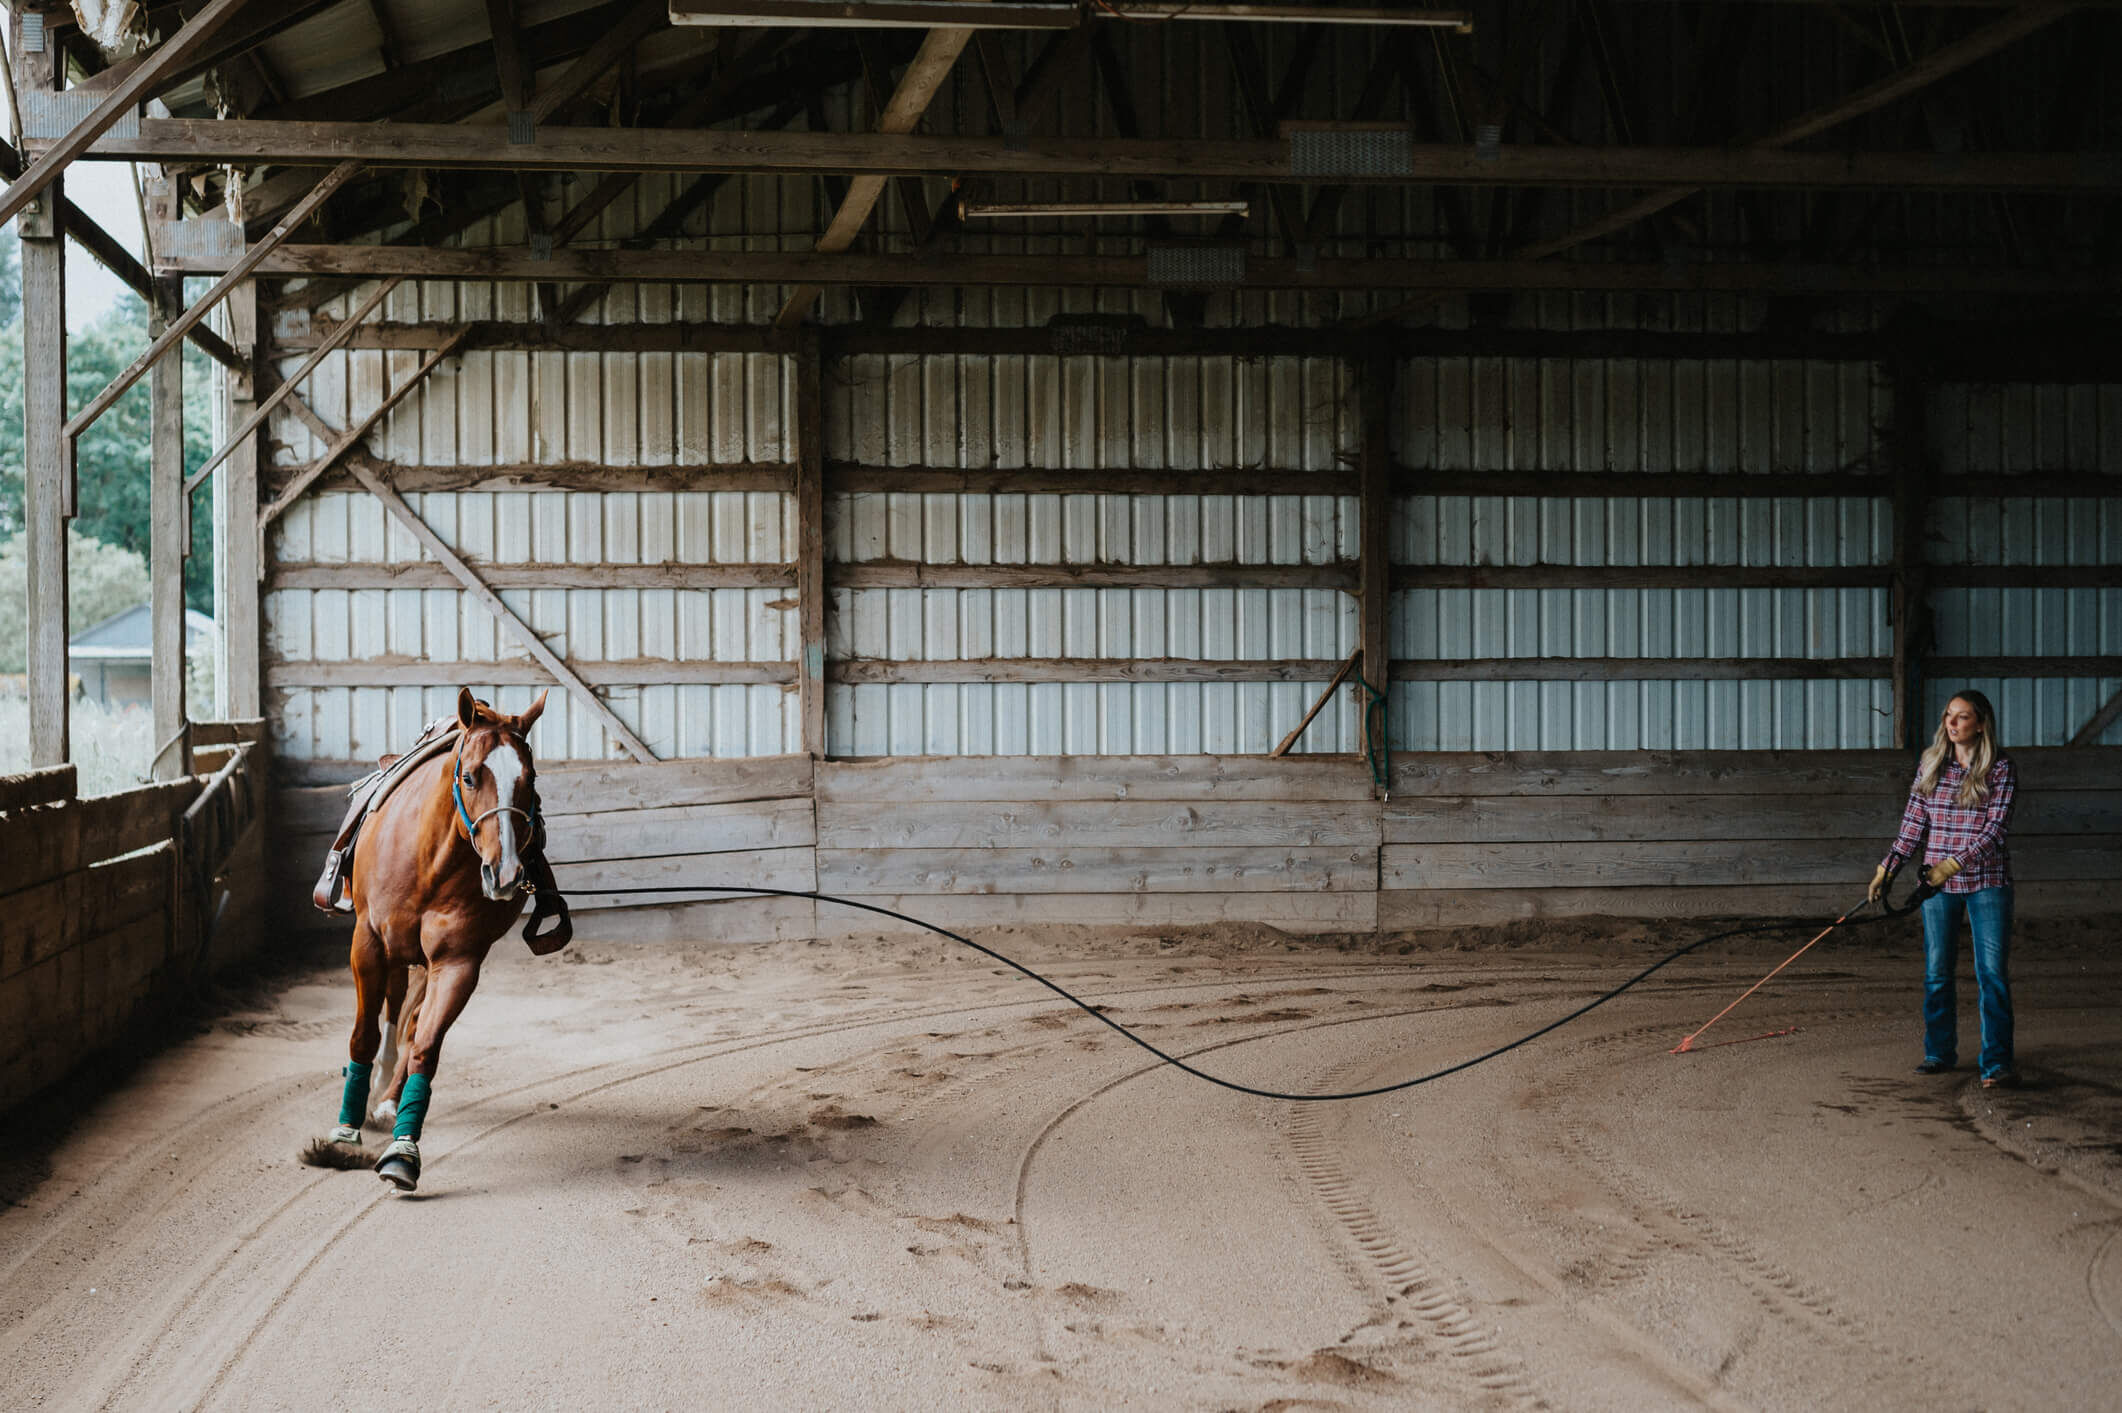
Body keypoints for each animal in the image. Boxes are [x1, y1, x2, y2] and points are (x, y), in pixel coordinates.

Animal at [325, 686, 555, 1191]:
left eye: (529, 778)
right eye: (469, 776)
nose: (505, 873)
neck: (429, 859)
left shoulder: (457, 962)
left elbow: (425, 1045)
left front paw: (403, 1151)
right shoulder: (368, 943)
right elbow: (364, 1035)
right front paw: (345, 1132)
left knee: (410, 1023)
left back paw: (389, 1097)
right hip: (392, 952)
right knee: (392, 1012)